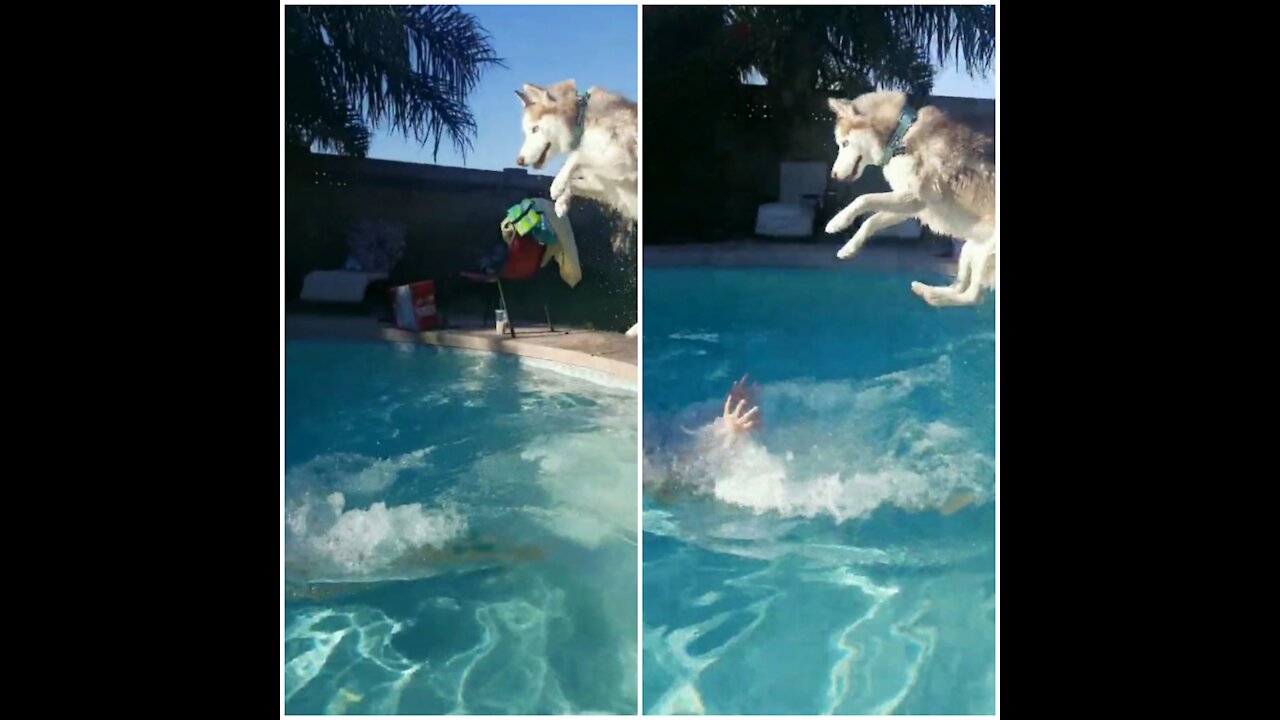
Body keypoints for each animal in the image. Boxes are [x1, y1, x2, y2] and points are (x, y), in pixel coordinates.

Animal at [512, 78, 637, 221]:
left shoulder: (626, 158)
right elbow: (575, 180)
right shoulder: (606, 185)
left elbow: (577, 154)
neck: (581, 119)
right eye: (526, 132)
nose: (519, 161)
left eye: (535, 129)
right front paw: (562, 202)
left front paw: (557, 184)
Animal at [824, 90, 993, 303]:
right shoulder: (912, 205)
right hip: (970, 249)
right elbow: (872, 220)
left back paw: (931, 295)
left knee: (972, 296)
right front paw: (849, 247)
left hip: (987, 251)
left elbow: (863, 199)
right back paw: (927, 291)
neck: (900, 137)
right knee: (961, 286)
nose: (833, 175)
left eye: (845, 143)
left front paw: (837, 222)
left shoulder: (914, 197)